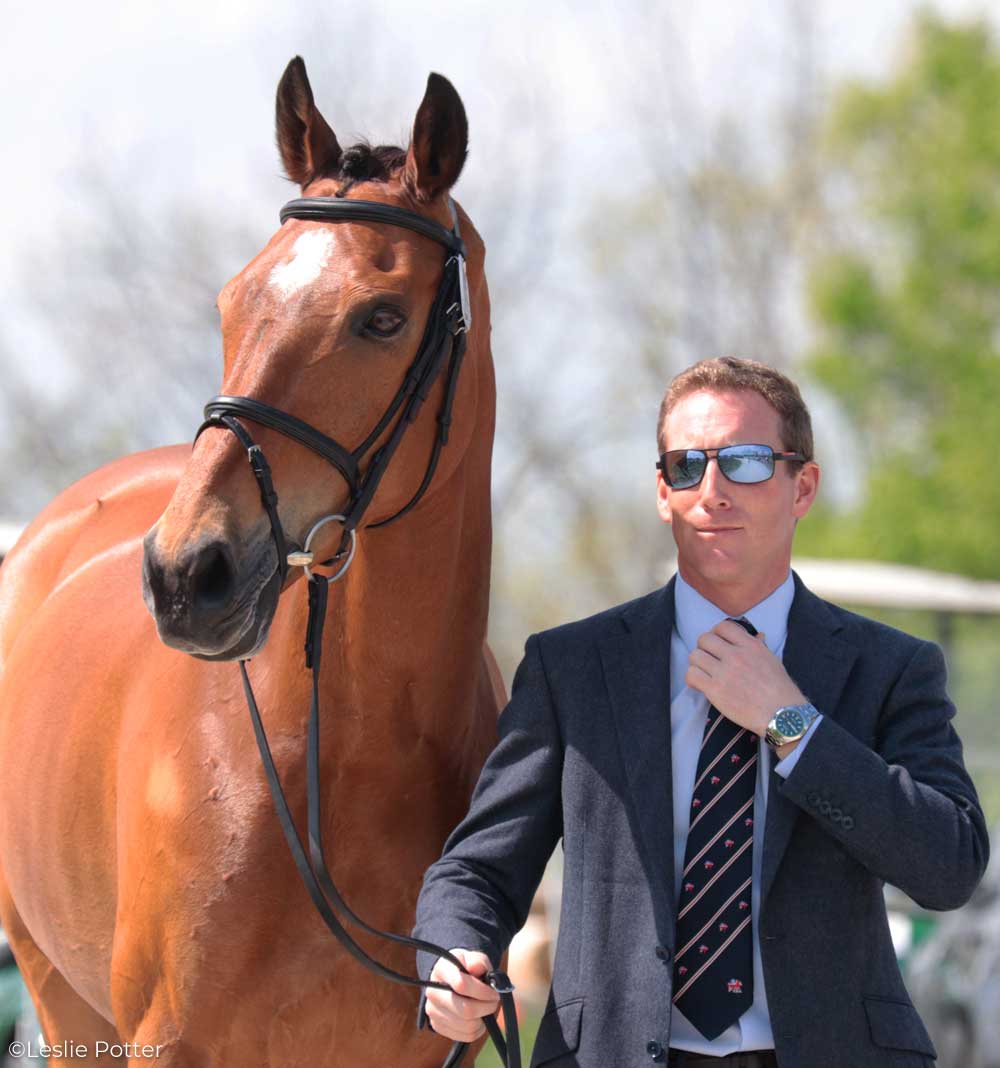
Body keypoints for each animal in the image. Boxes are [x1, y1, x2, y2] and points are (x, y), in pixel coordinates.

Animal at [0, 57, 502, 1067]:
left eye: (382, 319)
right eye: (232, 302)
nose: (185, 575)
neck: (355, 754)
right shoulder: (165, 1042)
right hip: (58, 999)